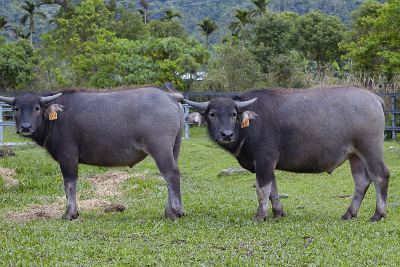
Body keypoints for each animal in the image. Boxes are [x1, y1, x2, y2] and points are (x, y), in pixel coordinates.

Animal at [0, 86, 184, 222]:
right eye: (16, 108)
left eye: (37, 108)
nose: (25, 127)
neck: (56, 119)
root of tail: (169, 97)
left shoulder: (68, 156)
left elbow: (70, 184)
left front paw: (70, 213)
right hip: (173, 149)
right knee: (170, 176)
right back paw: (168, 212)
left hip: (159, 148)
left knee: (171, 174)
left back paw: (176, 212)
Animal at [184, 85, 390, 222]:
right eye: (212, 114)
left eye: (234, 114)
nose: (226, 134)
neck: (250, 126)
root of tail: (373, 97)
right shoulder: (267, 164)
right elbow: (273, 189)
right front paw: (278, 213)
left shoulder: (264, 159)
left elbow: (262, 189)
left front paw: (261, 215)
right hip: (355, 155)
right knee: (361, 181)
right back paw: (349, 213)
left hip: (370, 149)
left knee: (380, 176)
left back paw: (377, 214)